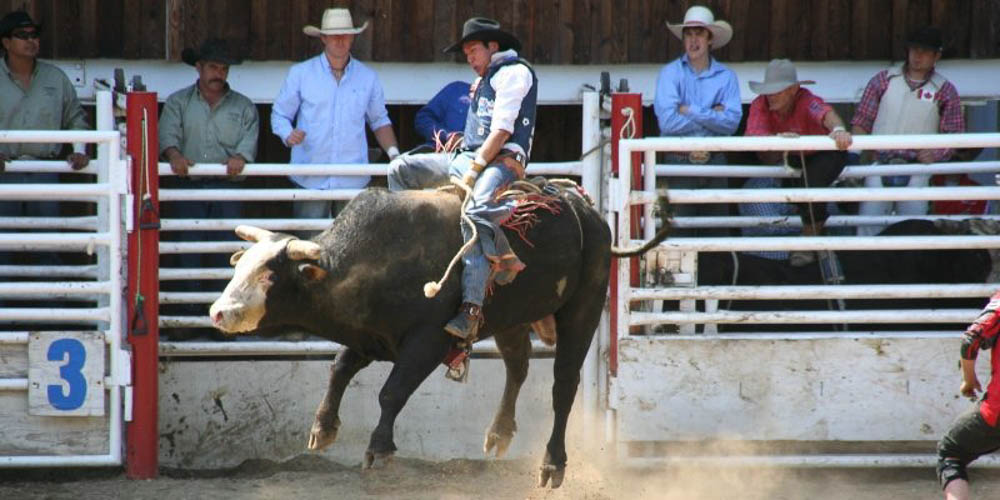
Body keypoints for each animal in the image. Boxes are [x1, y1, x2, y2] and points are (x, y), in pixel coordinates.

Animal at [209, 187, 664, 488]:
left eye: (269, 275)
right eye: (240, 267)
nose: (218, 311)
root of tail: (587, 212)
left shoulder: (426, 342)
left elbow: (392, 392)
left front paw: (380, 449)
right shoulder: (369, 336)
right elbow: (339, 369)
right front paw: (323, 429)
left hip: (583, 308)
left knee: (563, 386)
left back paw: (552, 465)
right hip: (511, 320)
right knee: (517, 367)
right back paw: (499, 433)